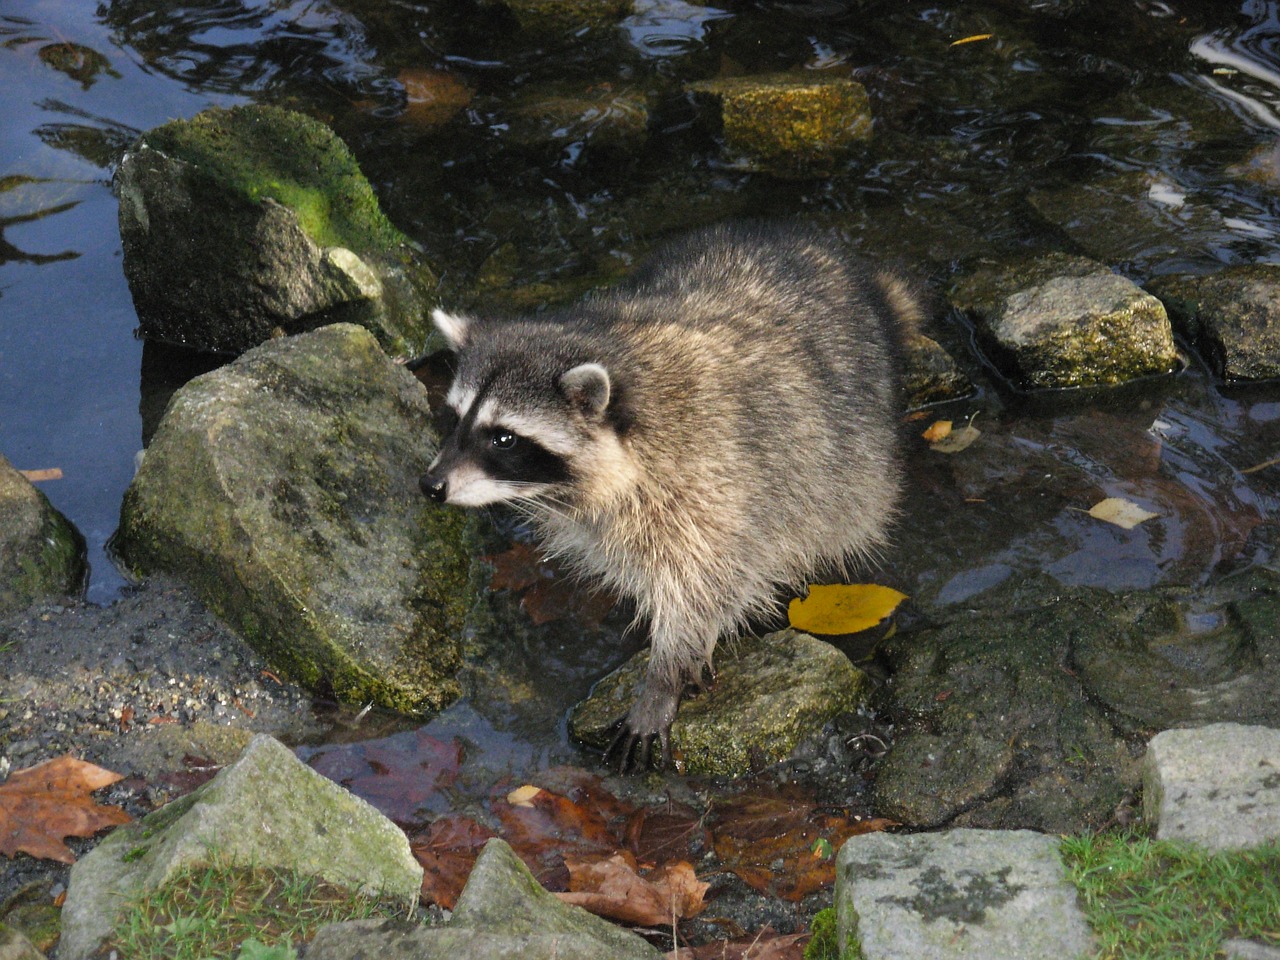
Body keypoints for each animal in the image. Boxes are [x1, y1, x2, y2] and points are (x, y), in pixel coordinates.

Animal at [421, 222, 918, 769]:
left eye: (504, 438)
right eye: (453, 418)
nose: (431, 486)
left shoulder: (715, 483)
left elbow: (705, 583)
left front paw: (668, 671)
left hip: (854, 453)